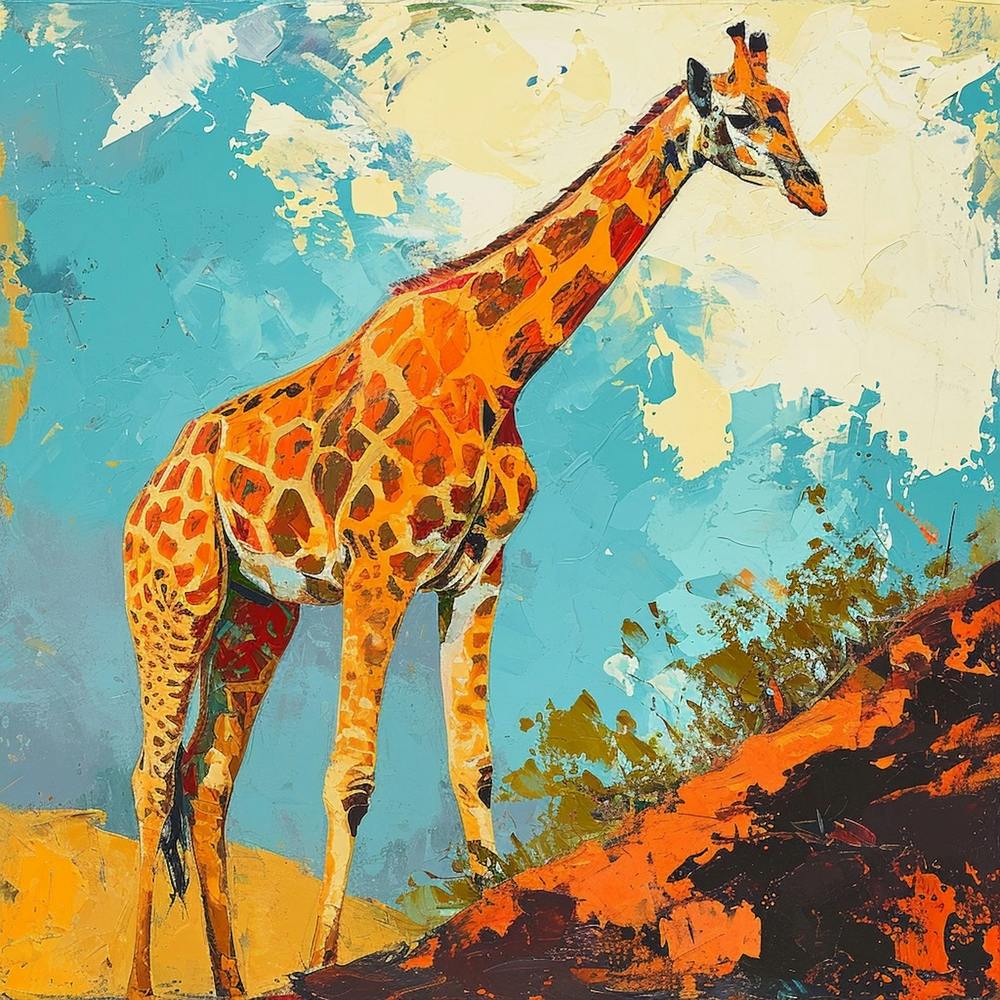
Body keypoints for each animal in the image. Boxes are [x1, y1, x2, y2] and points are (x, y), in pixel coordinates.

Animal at [123, 23, 825, 999]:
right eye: (745, 113)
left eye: (787, 102)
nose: (813, 187)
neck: (503, 362)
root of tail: (145, 496)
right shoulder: (380, 569)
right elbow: (351, 776)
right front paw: (321, 961)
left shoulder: (477, 571)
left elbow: (476, 766)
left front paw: (496, 914)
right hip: (175, 601)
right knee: (151, 778)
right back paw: (140, 981)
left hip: (257, 615)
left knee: (205, 783)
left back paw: (231, 982)